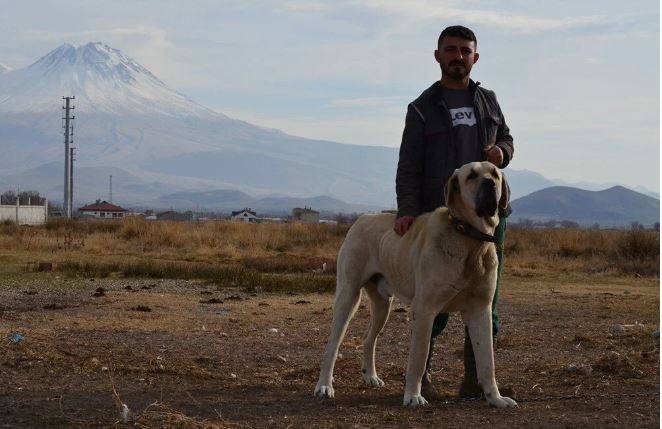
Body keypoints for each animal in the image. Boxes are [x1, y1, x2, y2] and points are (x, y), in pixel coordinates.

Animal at [316, 161, 520, 408]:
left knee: (369, 339)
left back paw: (370, 376)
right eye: (471, 176)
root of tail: (362, 218)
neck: (469, 240)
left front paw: (495, 398)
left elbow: (487, 361)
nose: (490, 184)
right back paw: (324, 385)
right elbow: (419, 356)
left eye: (495, 173)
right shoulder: (425, 310)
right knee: (331, 346)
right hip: (348, 297)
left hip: (383, 305)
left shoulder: (480, 310)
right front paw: (413, 395)